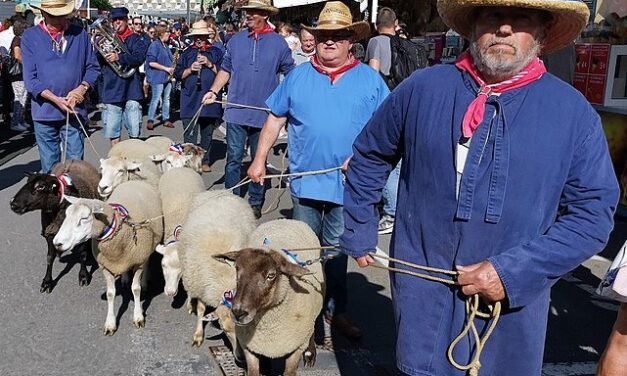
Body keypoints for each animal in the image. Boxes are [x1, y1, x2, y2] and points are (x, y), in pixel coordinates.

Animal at [8, 160, 101, 292]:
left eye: (40, 186)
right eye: (27, 183)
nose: (13, 204)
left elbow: (82, 253)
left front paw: (83, 276)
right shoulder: (50, 233)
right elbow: (49, 257)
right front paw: (47, 282)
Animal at [52, 180, 163, 334]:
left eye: (84, 218)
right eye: (66, 215)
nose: (57, 243)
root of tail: (133, 180)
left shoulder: (138, 261)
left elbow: (136, 289)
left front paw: (138, 316)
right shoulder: (105, 266)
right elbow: (111, 294)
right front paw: (110, 323)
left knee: (147, 262)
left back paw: (144, 282)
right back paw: (125, 278)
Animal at [175, 192, 256, 348]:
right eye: (224, 329)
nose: (238, 354)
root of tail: (220, 191)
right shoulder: (200, 287)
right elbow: (201, 311)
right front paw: (198, 334)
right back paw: (189, 303)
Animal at [215, 219, 326, 376]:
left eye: (271, 275)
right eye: (237, 270)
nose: (238, 313)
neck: (269, 327)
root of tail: (287, 220)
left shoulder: (296, 348)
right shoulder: (250, 347)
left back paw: (310, 354)